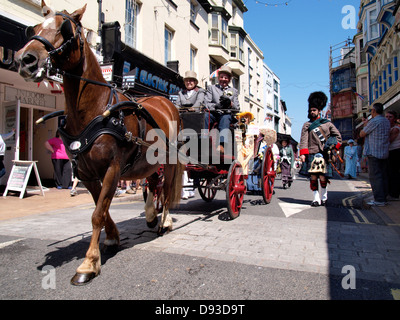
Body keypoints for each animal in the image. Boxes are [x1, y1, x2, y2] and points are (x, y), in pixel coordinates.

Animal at [14, 3, 184, 284]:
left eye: (64, 28)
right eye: (34, 28)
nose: (24, 59)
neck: (93, 111)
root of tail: (165, 101)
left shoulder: (112, 170)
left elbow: (97, 214)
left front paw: (89, 263)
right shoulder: (86, 173)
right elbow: (100, 210)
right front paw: (112, 238)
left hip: (169, 162)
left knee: (167, 190)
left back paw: (165, 222)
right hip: (148, 160)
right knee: (151, 183)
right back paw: (150, 215)